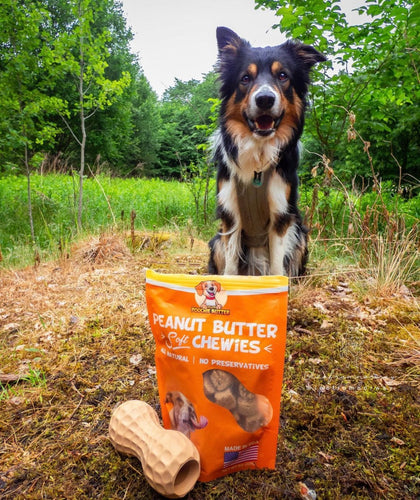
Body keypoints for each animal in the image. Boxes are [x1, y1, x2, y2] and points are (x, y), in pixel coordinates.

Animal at [208, 27, 326, 278]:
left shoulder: (281, 214)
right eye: (245, 78)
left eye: (282, 76)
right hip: (216, 242)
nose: (264, 99)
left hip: (300, 235)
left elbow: (277, 265)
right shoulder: (230, 212)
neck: (258, 156)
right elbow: (231, 265)